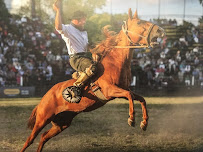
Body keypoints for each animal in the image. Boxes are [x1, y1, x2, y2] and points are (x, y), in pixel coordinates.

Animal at [20, 8, 165, 151]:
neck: (115, 63)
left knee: (44, 137)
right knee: (29, 140)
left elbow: (140, 98)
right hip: (42, 119)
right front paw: (131, 119)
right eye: (139, 22)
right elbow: (130, 95)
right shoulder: (110, 90)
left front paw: (144, 123)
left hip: (61, 123)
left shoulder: (122, 89)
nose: (160, 30)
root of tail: (44, 98)